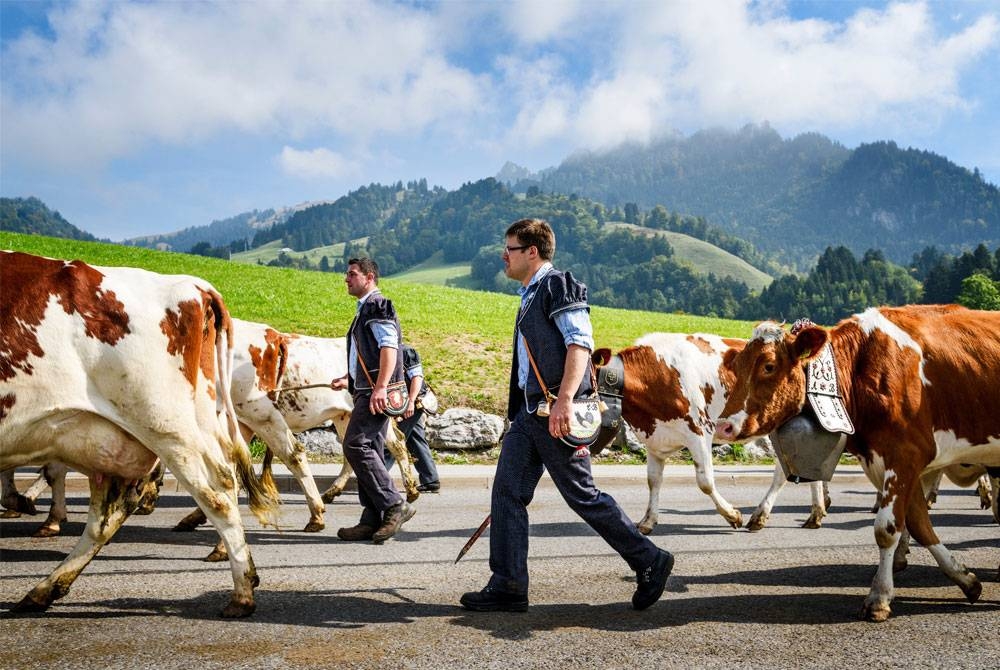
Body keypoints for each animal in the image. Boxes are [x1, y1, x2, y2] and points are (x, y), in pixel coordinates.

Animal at [0, 252, 278, 620]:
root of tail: (194, 286)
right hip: (119, 438)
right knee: (108, 513)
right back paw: (43, 590)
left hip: (165, 425)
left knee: (217, 490)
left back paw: (242, 593)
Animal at [596, 334, 824, 536]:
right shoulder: (655, 441)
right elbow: (653, 481)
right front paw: (648, 521)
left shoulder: (699, 431)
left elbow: (705, 481)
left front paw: (732, 515)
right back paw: (816, 513)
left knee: (783, 471)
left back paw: (760, 516)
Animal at [716, 308, 996, 624]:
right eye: (738, 365)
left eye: (769, 366)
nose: (724, 426)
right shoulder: (887, 460)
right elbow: (919, 524)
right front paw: (966, 580)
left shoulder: (905, 456)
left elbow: (886, 529)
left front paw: (879, 597)